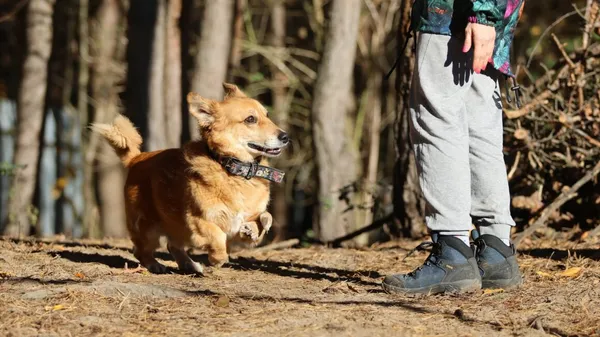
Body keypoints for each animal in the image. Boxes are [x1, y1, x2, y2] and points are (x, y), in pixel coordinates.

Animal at [92, 82, 290, 272]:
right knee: (141, 250)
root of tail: (136, 158)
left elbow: (265, 217)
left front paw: (255, 226)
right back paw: (156, 265)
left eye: (267, 115)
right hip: (148, 228)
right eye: (250, 119)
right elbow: (217, 237)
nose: (286, 136)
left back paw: (190, 265)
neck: (235, 170)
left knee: (172, 246)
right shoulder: (196, 222)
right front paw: (215, 260)